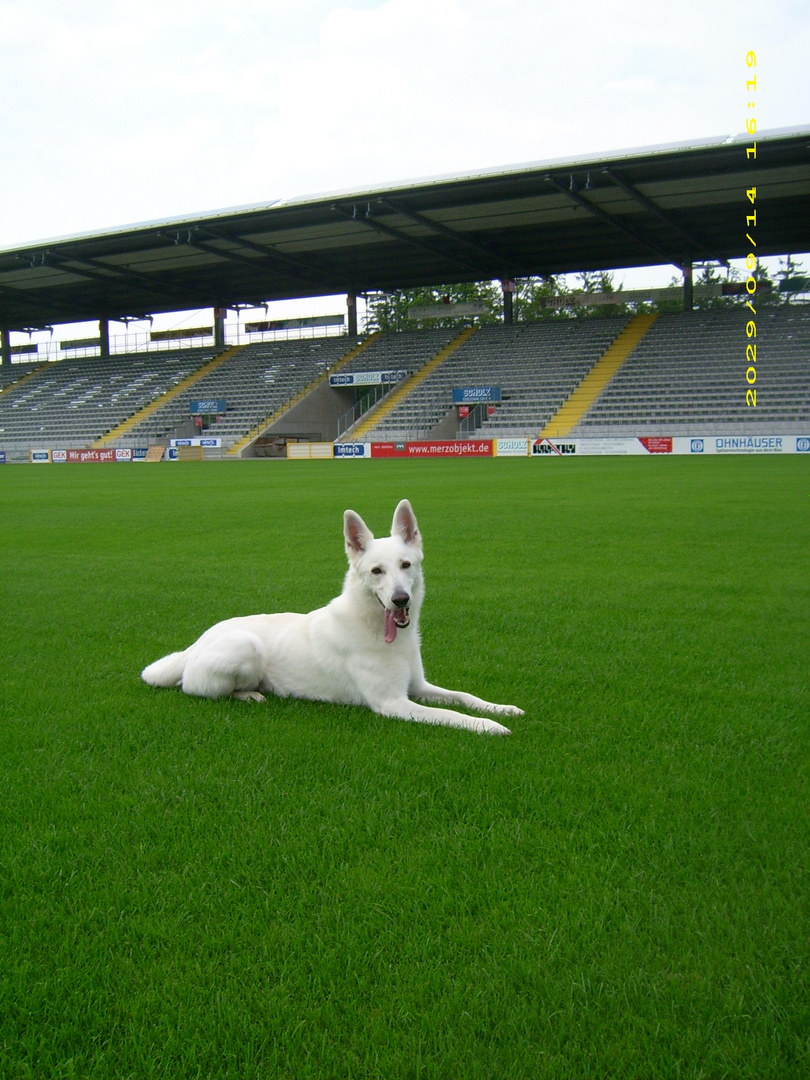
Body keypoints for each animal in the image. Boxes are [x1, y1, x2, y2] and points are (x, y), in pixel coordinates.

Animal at [141, 496, 522, 734]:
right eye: (376, 571)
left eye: (405, 565)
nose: (400, 600)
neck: (376, 628)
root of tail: (197, 642)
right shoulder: (394, 703)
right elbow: (450, 714)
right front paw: (488, 727)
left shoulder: (418, 686)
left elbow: (464, 698)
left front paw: (500, 709)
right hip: (244, 649)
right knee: (194, 688)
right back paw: (249, 694)